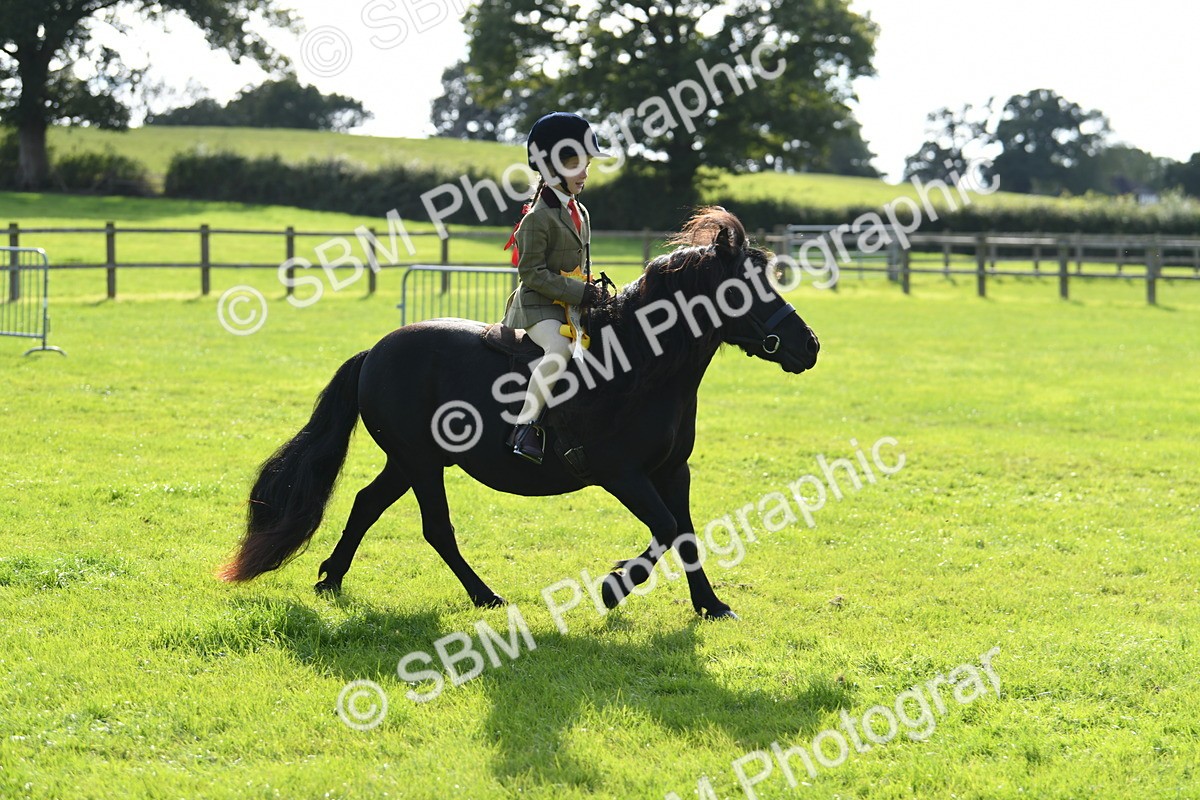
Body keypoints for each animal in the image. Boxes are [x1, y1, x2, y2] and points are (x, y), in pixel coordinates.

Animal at [219, 207, 820, 619]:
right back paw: (485, 596)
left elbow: (687, 535)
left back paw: (332, 579)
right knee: (436, 528)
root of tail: (375, 351)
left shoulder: (674, 471)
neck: (640, 367)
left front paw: (711, 606)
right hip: (420, 462)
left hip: (408, 461)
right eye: (744, 288)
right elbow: (668, 528)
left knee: (367, 504)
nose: (808, 346)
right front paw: (612, 588)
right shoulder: (621, 474)